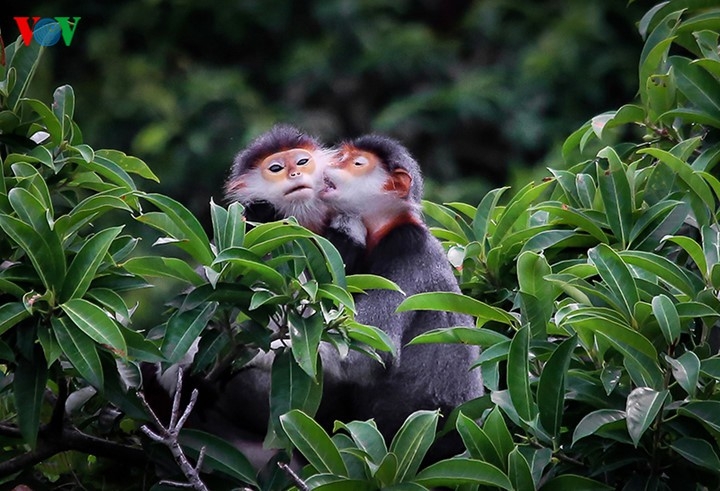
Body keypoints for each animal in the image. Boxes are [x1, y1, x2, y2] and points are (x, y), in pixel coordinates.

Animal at [320, 134, 484, 462]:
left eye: (357, 163)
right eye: (342, 156)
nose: (333, 163)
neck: (385, 227)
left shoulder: (404, 246)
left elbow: (370, 351)